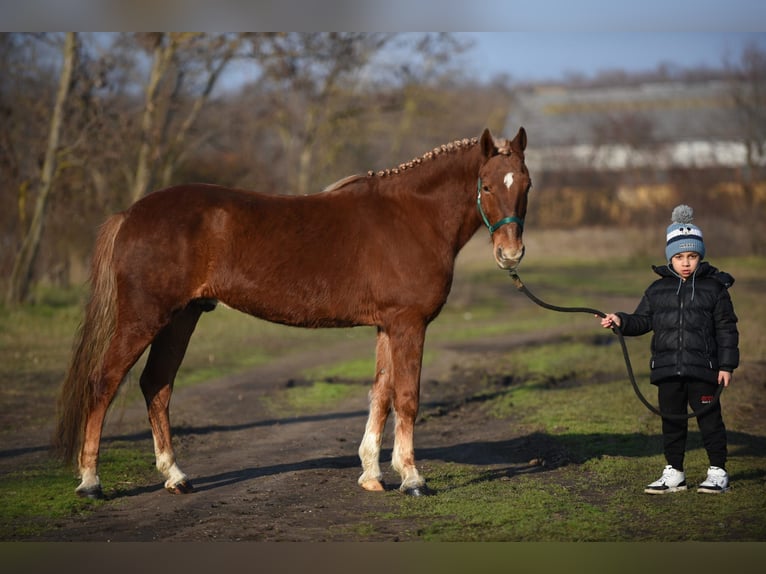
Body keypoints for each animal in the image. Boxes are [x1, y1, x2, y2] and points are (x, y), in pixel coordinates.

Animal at [55, 126, 536, 500]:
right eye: (486, 185)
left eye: (526, 185)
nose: (510, 254)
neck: (411, 216)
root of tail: (130, 213)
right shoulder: (408, 324)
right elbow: (406, 397)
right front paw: (412, 478)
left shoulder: (387, 325)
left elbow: (380, 393)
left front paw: (372, 474)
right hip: (144, 317)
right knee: (104, 382)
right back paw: (91, 482)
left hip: (182, 318)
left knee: (156, 385)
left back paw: (175, 476)